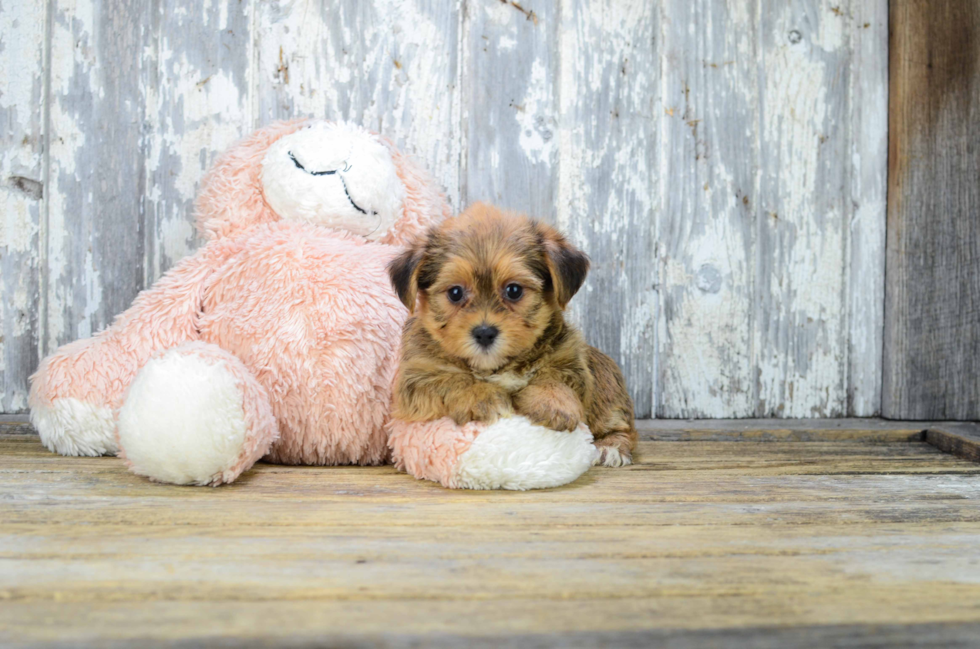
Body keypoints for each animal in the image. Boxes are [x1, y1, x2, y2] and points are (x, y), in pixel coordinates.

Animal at [386, 202, 640, 466]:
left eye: (514, 290)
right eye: (455, 293)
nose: (484, 333)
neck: (497, 367)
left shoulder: (570, 360)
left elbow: (555, 378)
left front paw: (553, 401)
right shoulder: (416, 376)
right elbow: (451, 380)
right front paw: (482, 396)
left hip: (607, 386)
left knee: (620, 425)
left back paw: (611, 446)